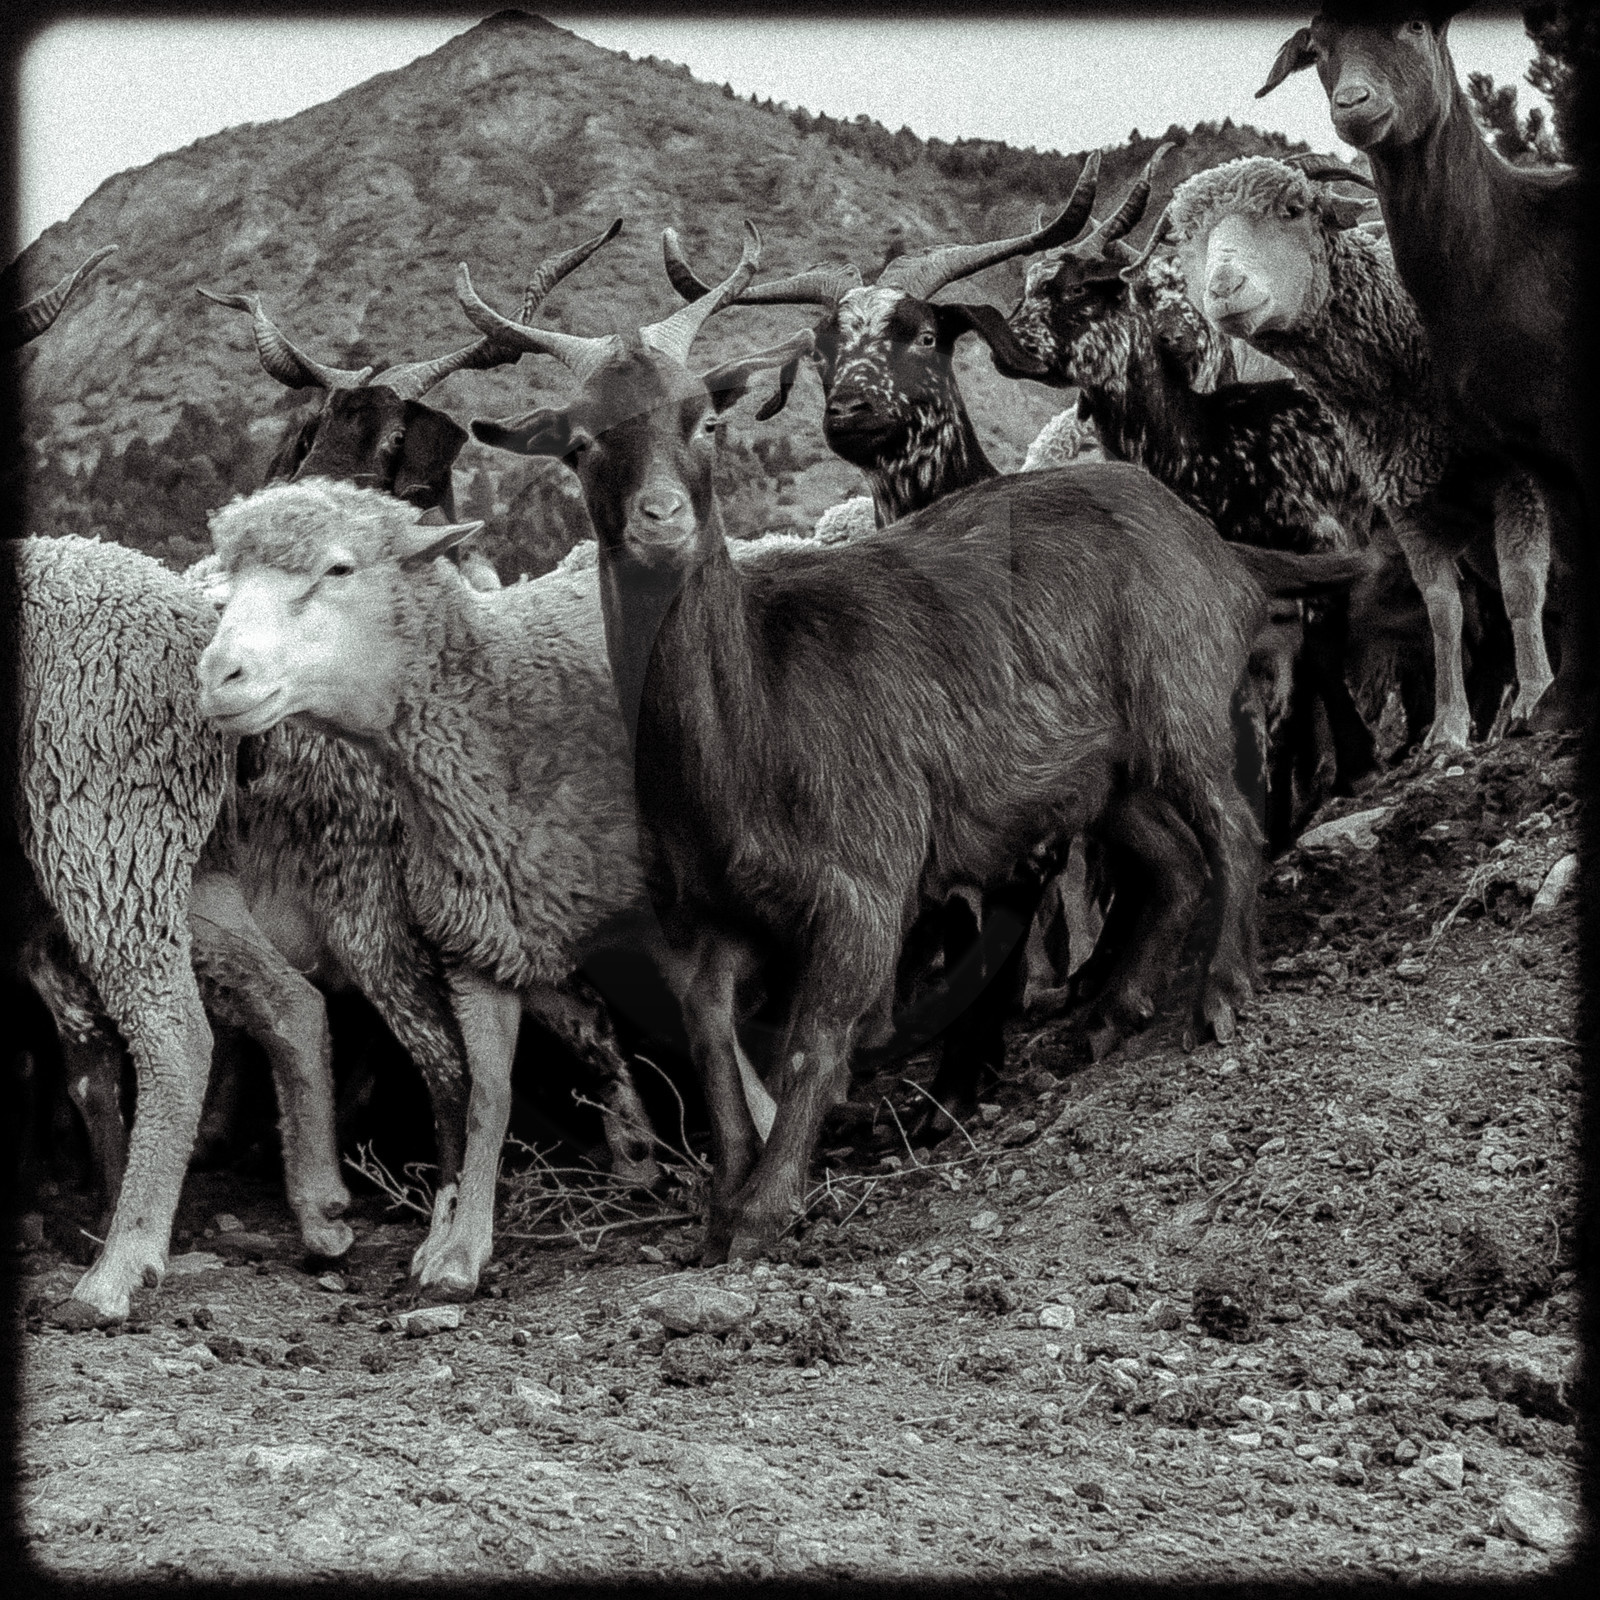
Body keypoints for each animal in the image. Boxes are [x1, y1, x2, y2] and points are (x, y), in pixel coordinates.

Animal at [430, 221, 1389, 1260]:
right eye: (578, 443)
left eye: (705, 422)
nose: (662, 520)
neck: (756, 708)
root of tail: (1212, 540)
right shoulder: (706, 915)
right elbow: (712, 1044)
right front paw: (723, 1200)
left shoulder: (865, 882)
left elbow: (816, 1039)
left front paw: (767, 1210)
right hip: (1099, 775)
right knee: (1170, 862)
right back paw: (1110, 1014)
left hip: (1180, 704)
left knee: (1232, 829)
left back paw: (1219, 993)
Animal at [1158, 153, 1556, 756]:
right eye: (1185, 236)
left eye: (1293, 209)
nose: (1225, 287)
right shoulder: (1405, 498)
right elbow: (1443, 610)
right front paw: (1448, 729)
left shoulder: (1518, 477)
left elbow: (1522, 584)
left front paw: (1534, 697)